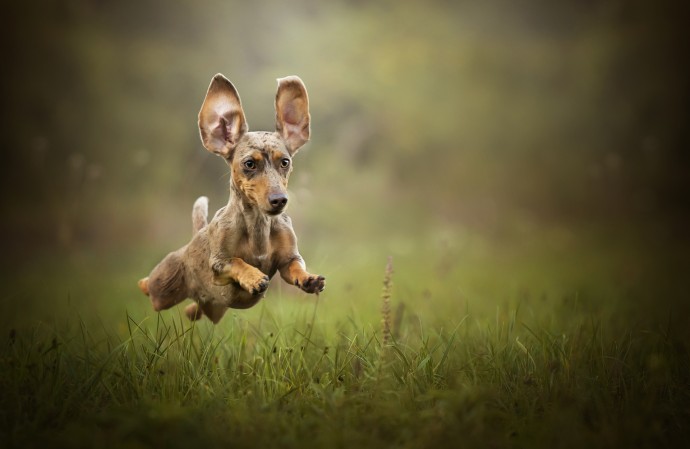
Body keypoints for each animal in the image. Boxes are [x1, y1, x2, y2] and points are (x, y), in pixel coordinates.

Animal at [138, 75, 326, 324]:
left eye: (285, 162)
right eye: (249, 164)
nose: (280, 200)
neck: (258, 225)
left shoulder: (288, 260)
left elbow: (294, 267)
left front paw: (308, 278)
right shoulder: (218, 264)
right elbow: (236, 262)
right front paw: (254, 277)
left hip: (207, 306)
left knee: (192, 310)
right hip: (163, 287)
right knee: (148, 288)